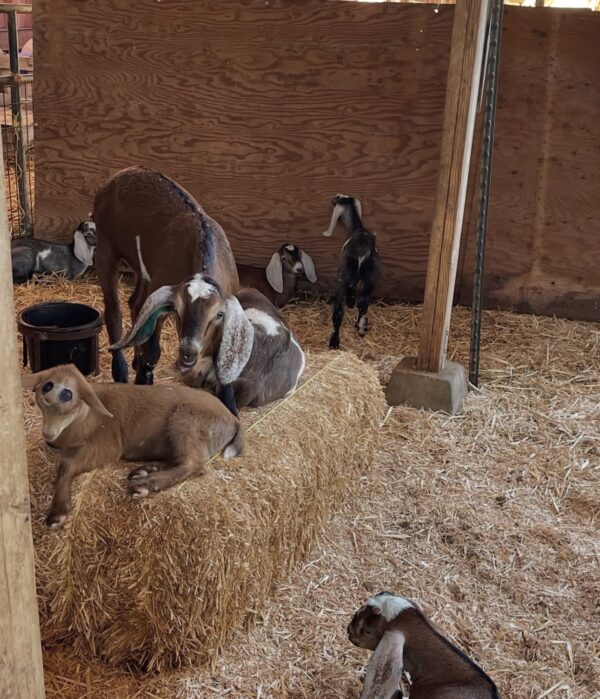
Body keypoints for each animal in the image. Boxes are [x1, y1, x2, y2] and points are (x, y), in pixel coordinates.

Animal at [22, 364, 243, 529]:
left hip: (186, 424)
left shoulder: (107, 447)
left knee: (194, 465)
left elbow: (66, 466)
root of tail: (233, 419)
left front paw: (57, 514)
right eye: (45, 388)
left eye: (69, 395)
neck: (85, 419)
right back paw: (144, 471)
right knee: (179, 460)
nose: (48, 436)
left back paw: (144, 484)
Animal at [93, 166, 239, 386]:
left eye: (218, 314)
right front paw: (143, 379)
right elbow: (153, 351)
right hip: (105, 247)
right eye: (178, 310)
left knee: (136, 303)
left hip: (145, 270)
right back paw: (120, 370)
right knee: (113, 310)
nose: (188, 351)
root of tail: (121, 173)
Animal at [323, 194, 380, 350]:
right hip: (371, 278)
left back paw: (334, 342)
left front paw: (349, 302)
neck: (357, 229)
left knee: (338, 310)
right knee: (364, 303)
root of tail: (362, 249)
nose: (331, 201)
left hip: (342, 276)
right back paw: (361, 328)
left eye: (336, 199)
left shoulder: (345, 278)